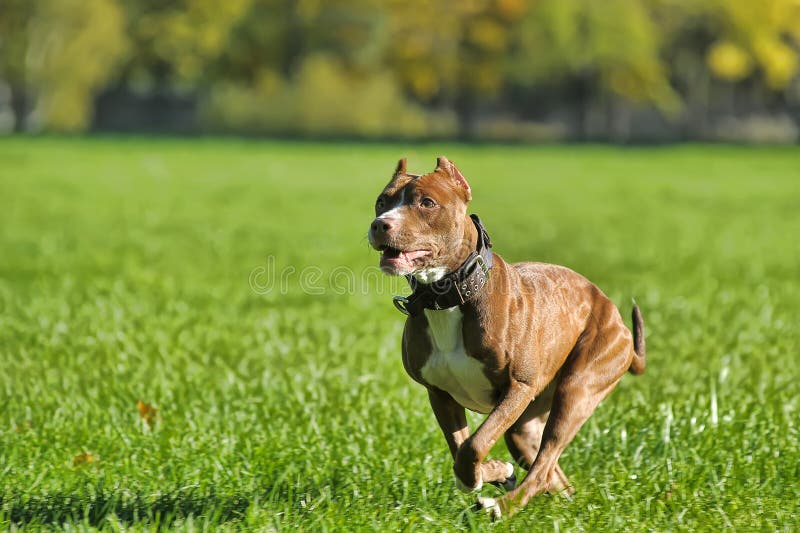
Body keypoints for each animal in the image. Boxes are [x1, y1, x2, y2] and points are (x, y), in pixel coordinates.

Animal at [368, 156, 644, 516]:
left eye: (426, 203)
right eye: (381, 202)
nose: (380, 224)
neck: (450, 295)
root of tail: (613, 313)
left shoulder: (518, 386)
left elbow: (474, 444)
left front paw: (493, 474)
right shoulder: (439, 394)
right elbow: (461, 450)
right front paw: (495, 472)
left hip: (577, 389)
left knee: (543, 466)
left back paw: (502, 507)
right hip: (525, 426)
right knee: (551, 472)